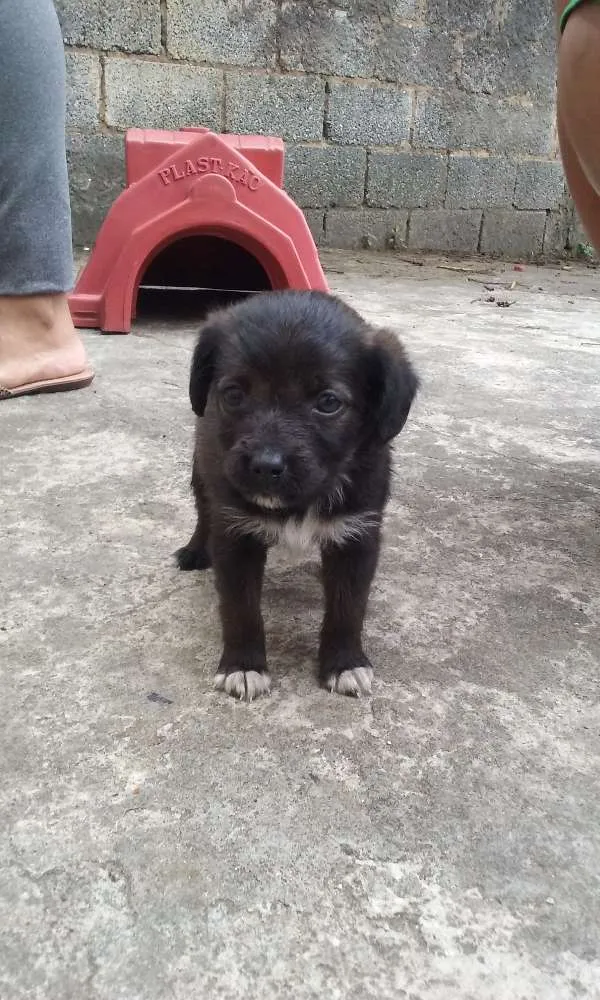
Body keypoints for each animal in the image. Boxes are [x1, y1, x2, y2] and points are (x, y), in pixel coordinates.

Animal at [176, 290, 414, 704]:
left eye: (328, 402)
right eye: (234, 394)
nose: (265, 465)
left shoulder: (357, 534)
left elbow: (349, 607)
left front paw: (344, 662)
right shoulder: (235, 533)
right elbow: (240, 607)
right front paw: (244, 666)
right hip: (204, 472)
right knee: (204, 512)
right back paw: (194, 550)